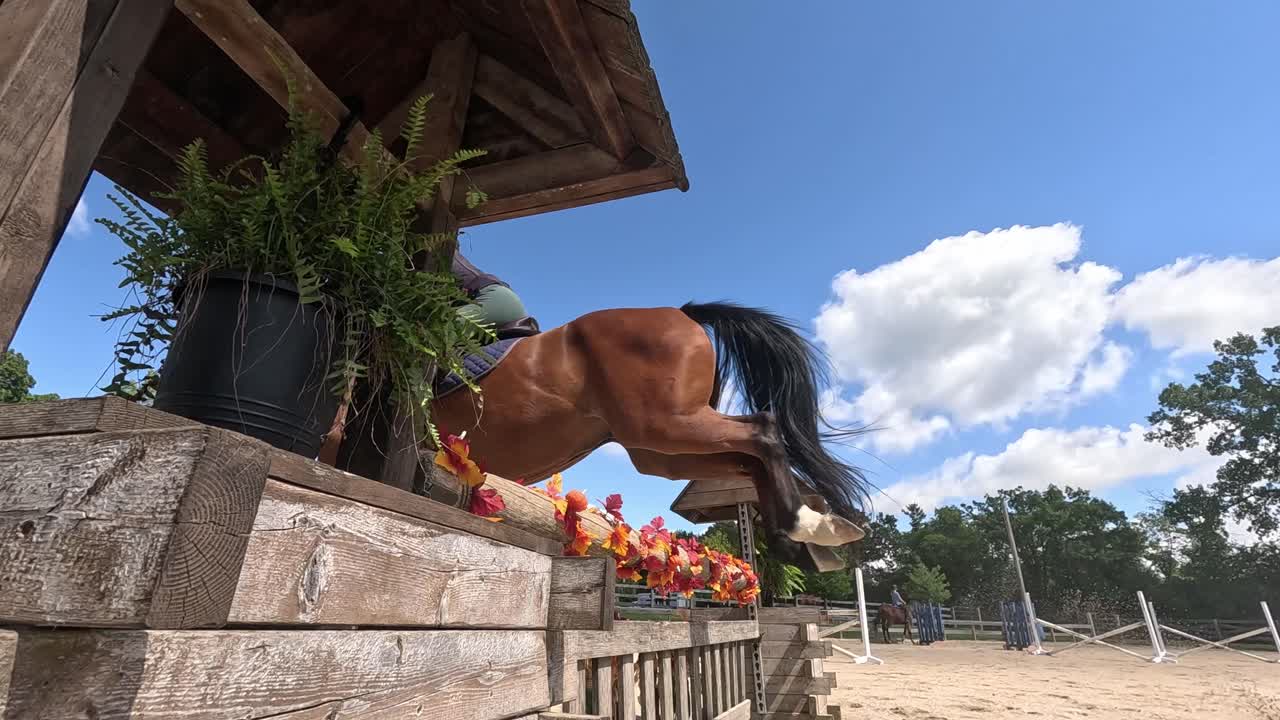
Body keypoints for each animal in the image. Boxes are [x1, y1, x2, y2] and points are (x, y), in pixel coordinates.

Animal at [423, 301, 870, 572]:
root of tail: (684, 312)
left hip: (666, 424)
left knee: (763, 432)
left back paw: (807, 526)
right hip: (660, 450)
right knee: (749, 457)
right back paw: (801, 540)